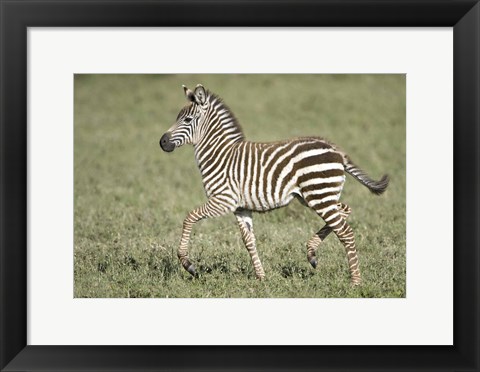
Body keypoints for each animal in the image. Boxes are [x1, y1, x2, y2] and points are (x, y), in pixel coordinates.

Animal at [159, 84, 388, 284]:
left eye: (188, 119)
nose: (162, 142)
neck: (219, 154)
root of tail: (336, 149)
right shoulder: (241, 208)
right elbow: (249, 241)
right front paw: (261, 277)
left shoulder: (223, 200)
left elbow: (189, 218)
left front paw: (187, 263)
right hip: (316, 196)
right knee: (344, 210)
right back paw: (312, 253)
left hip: (319, 194)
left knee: (345, 232)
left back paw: (355, 281)